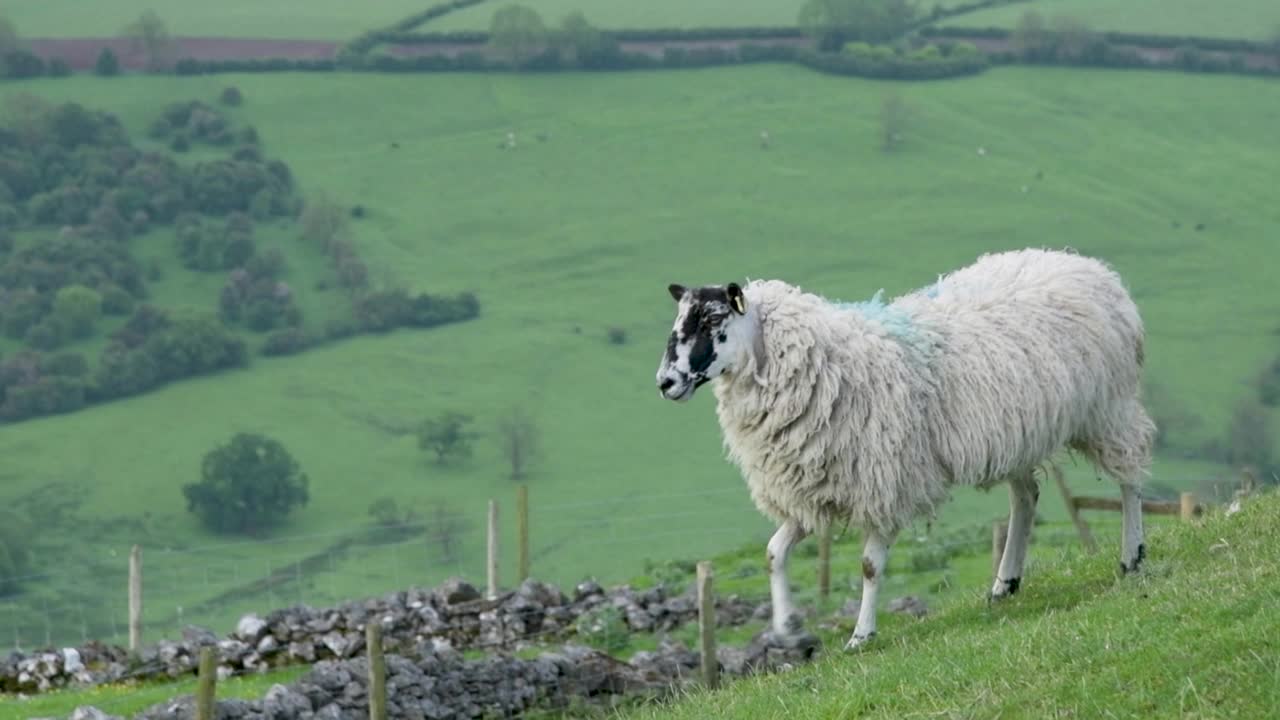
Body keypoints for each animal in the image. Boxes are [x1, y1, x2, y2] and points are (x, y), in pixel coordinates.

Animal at [655, 245, 1157, 650]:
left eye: (712, 320)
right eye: (679, 322)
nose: (665, 382)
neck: (825, 363)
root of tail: (1086, 265)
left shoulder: (885, 481)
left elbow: (868, 567)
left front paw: (861, 635)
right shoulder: (810, 484)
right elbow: (774, 552)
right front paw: (789, 628)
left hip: (1108, 408)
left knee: (1130, 477)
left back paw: (1131, 556)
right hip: (1017, 432)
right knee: (1026, 496)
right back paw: (1005, 582)